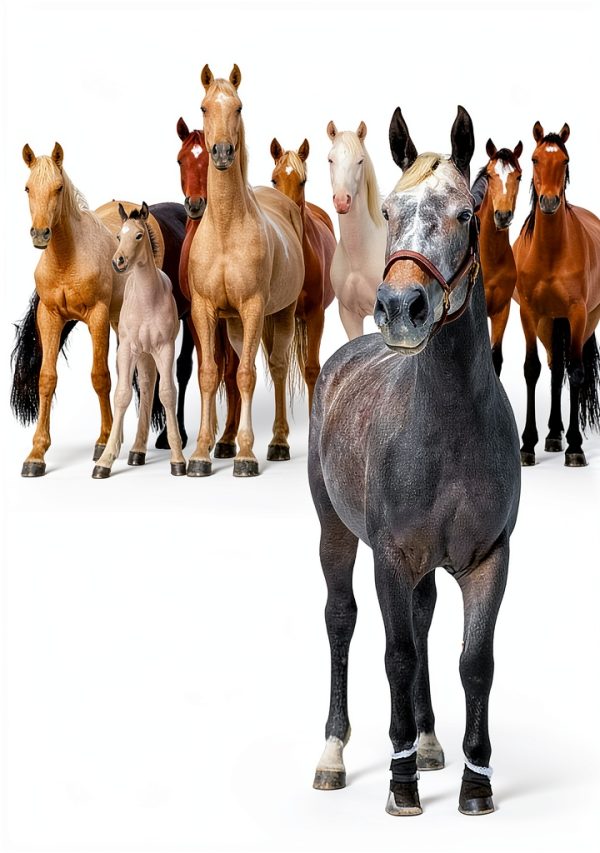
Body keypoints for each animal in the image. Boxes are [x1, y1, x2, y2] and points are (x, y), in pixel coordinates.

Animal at [11, 143, 124, 477]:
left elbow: (100, 377)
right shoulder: (49, 317)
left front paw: (103, 441)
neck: (66, 258)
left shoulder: (97, 316)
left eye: (58, 188)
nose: (40, 234)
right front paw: (36, 453)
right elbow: (47, 378)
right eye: (27, 188)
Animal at [92, 203, 186, 478]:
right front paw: (104, 462)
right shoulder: (127, 349)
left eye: (138, 235)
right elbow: (122, 395)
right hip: (142, 354)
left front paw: (178, 459)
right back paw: (136, 451)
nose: (118, 261)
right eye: (118, 236)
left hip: (151, 352)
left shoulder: (165, 348)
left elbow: (167, 393)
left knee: (149, 386)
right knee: (145, 385)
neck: (146, 300)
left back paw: (139, 450)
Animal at [187, 64, 304, 478]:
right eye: (204, 107)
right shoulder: (205, 310)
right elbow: (211, 376)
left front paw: (247, 456)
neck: (225, 226)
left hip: (281, 315)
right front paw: (200, 454)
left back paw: (278, 443)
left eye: (238, 107)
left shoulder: (255, 308)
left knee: (277, 368)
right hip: (236, 325)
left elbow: (248, 376)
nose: (222, 152)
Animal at [513, 122, 600, 467]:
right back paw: (551, 435)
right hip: (548, 322)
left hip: (584, 320)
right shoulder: (528, 313)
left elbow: (576, 372)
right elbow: (531, 370)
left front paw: (575, 447)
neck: (551, 253)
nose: (549, 202)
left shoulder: (576, 314)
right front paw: (527, 445)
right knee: (553, 369)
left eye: (564, 161)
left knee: (570, 369)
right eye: (535, 159)